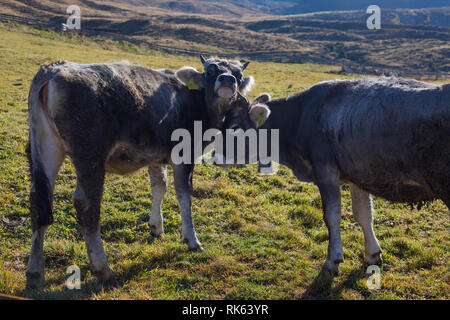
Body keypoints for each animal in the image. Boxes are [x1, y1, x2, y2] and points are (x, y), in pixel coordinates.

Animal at [216, 77, 448, 276]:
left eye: (235, 128)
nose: (216, 156)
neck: (300, 118)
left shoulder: (325, 172)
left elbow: (332, 216)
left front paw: (332, 260)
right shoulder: (358, 176)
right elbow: (363, 214)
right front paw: (372, 254)